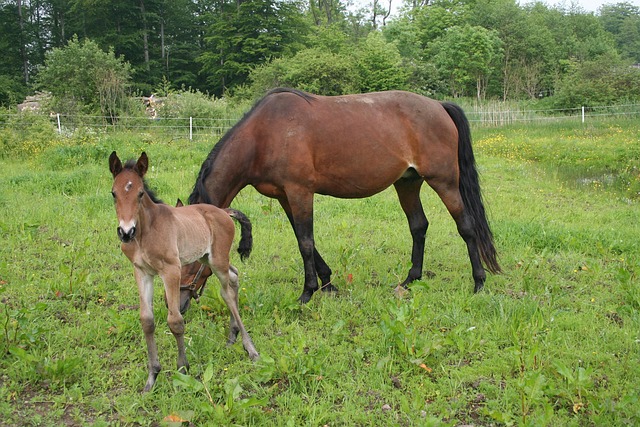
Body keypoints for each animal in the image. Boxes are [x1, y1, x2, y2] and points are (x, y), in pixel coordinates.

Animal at [109, 151, 259, 392]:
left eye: (140, 193)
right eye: (113, 193)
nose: (125, 232)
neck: (146, 232)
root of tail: (223, 211)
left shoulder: (171, 270)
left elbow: (175, 321)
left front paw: (182, 369)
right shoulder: (142, 272)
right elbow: (147, 320)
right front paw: (152, 377)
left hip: (217, 260)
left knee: (227, 293)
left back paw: (250, 348)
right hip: (206, 258)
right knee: (234, 276)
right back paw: (232, 337)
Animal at [185, 88, 501, 304]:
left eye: (189, 261)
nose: (182, 304)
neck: (265, 134)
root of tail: (439, 105)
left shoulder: (300, 192)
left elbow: (305, 242)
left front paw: (308, 292)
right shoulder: (285, 196)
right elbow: (304, 239)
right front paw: (327, 282)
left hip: (444, 182)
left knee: (466, 227)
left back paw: (479, 283)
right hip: (408, 183)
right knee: (419, 226)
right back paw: (411, 280)